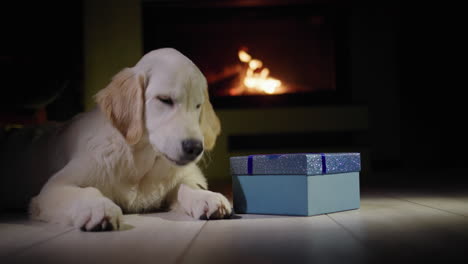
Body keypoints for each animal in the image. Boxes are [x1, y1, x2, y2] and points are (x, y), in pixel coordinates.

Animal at [28, 48, 230, 231]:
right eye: (164, 99)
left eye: (198, 105)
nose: (195, 148)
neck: (141, 160)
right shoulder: (53, 188)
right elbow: (86, 191)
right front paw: (98, 207)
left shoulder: (183, 175)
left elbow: (189, 186)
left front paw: (207, 197)